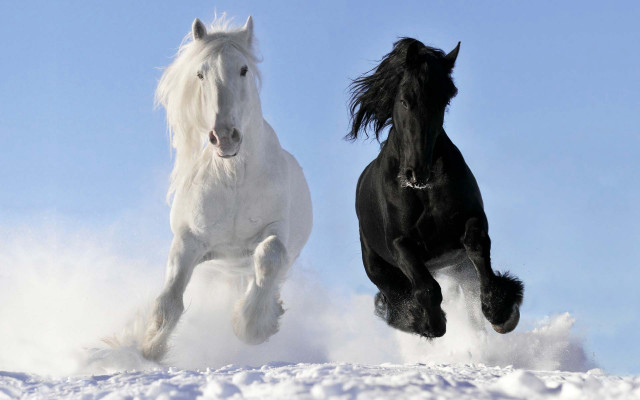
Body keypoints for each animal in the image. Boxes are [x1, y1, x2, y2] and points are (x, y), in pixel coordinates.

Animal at [141, 16, 312, 361]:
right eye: (200, 73)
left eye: (244, 69)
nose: (224, 137)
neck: (233, 179)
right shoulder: (189, 241)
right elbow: (169, 300)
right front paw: (148, 348)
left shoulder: (276, 231)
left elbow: (270, 256)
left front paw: (251, 327)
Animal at [347, 38, 523, 339]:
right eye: (405, 100)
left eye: (444, 100)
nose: (417, 172)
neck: (423, 192)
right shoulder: (400, 244)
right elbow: (426, 288)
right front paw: (430, 323)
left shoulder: (471, 219)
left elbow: (477, 248)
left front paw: (500, 311)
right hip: (379, 268)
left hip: (458, 266)